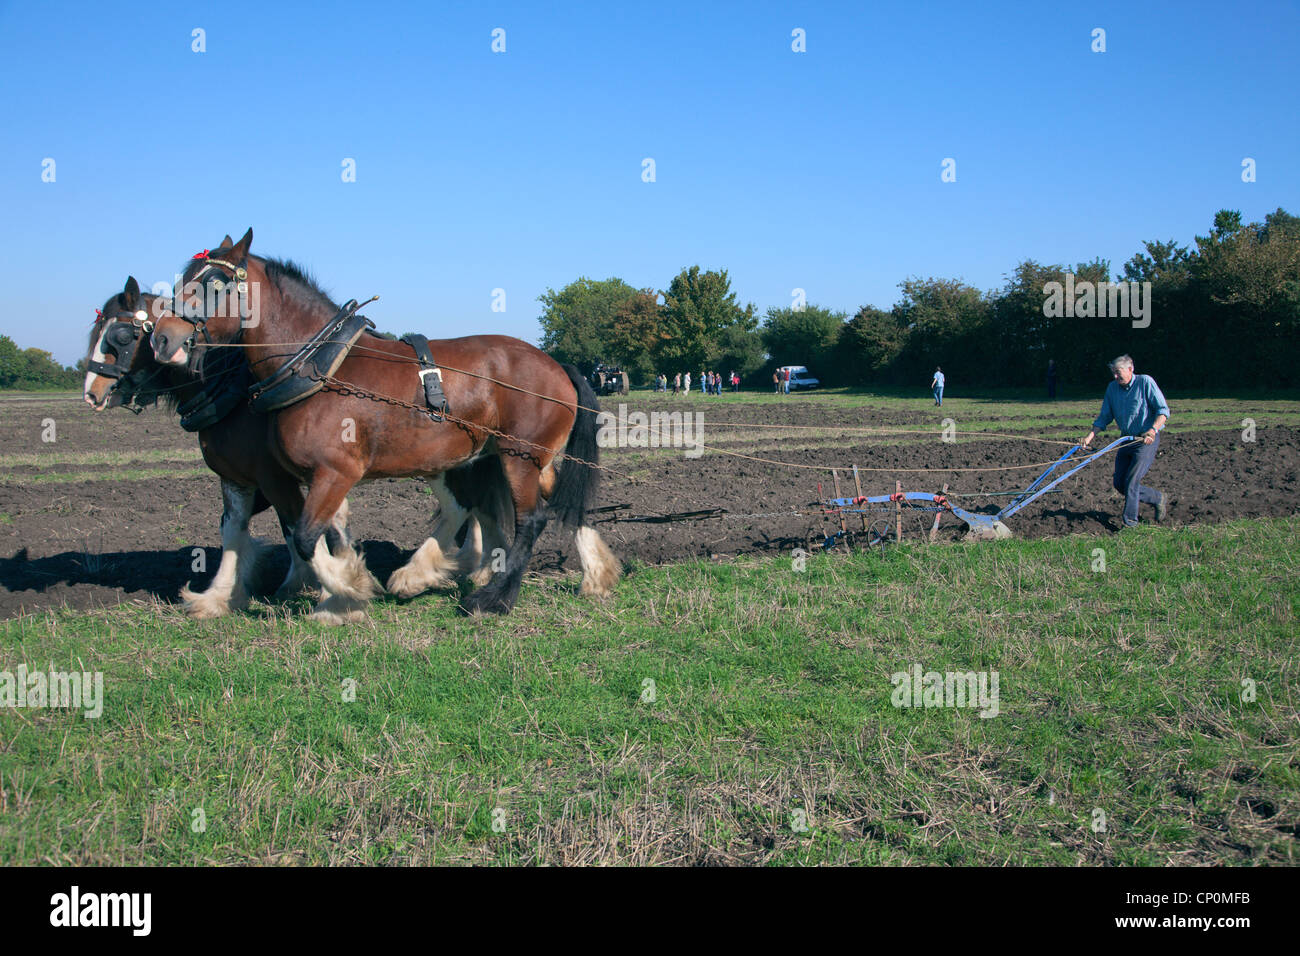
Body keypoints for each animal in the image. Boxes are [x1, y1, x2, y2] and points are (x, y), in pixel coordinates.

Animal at [148, 229, 619, 622]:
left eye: (214, 284)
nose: (163, 338)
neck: (319, 366)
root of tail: (557, 365)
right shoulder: (302, 478)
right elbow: (313, 532)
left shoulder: (332, 471)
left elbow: (305, 537)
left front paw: (346, 593)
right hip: (512, 458)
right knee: (557, 503)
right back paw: (593, 575)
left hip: (518, 458)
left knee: (532, 519)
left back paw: (494, 599)